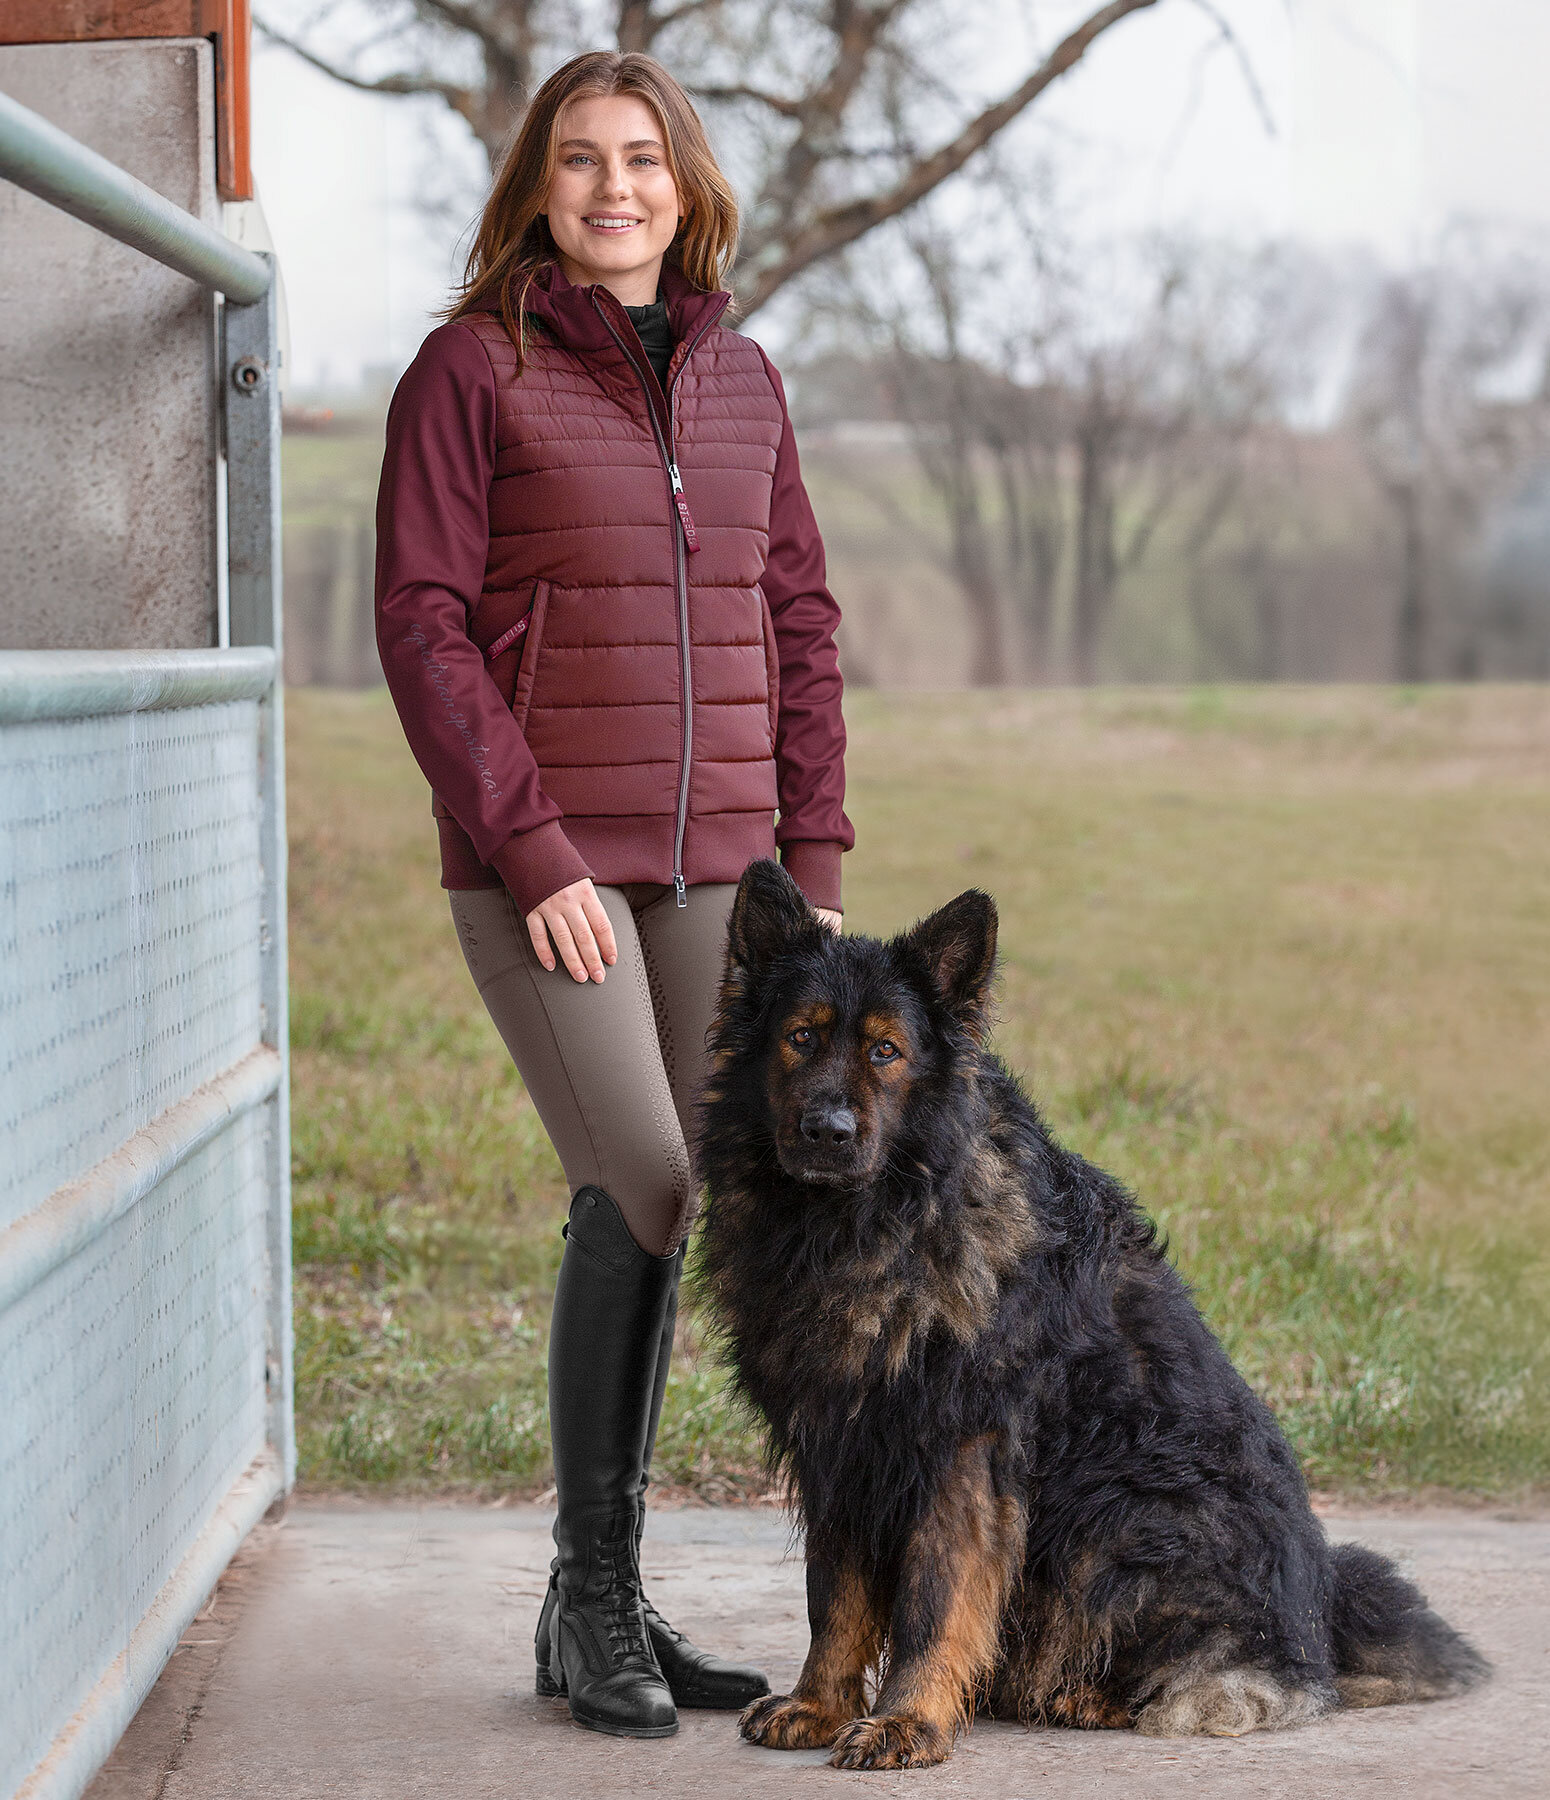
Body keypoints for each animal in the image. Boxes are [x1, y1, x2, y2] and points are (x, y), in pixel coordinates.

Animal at [694, 864, 1483, 1778]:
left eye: (885, 1052)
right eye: (800, 1037)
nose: (829, 1129)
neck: (871, 1223)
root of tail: (1315, 1625)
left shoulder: (961, 1452)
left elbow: (934, 1601)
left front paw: (909, 1720)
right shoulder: (841, 1447)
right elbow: (836, 1598)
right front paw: (820, 1705)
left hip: (1119, 1517)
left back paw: (1083, 1696)